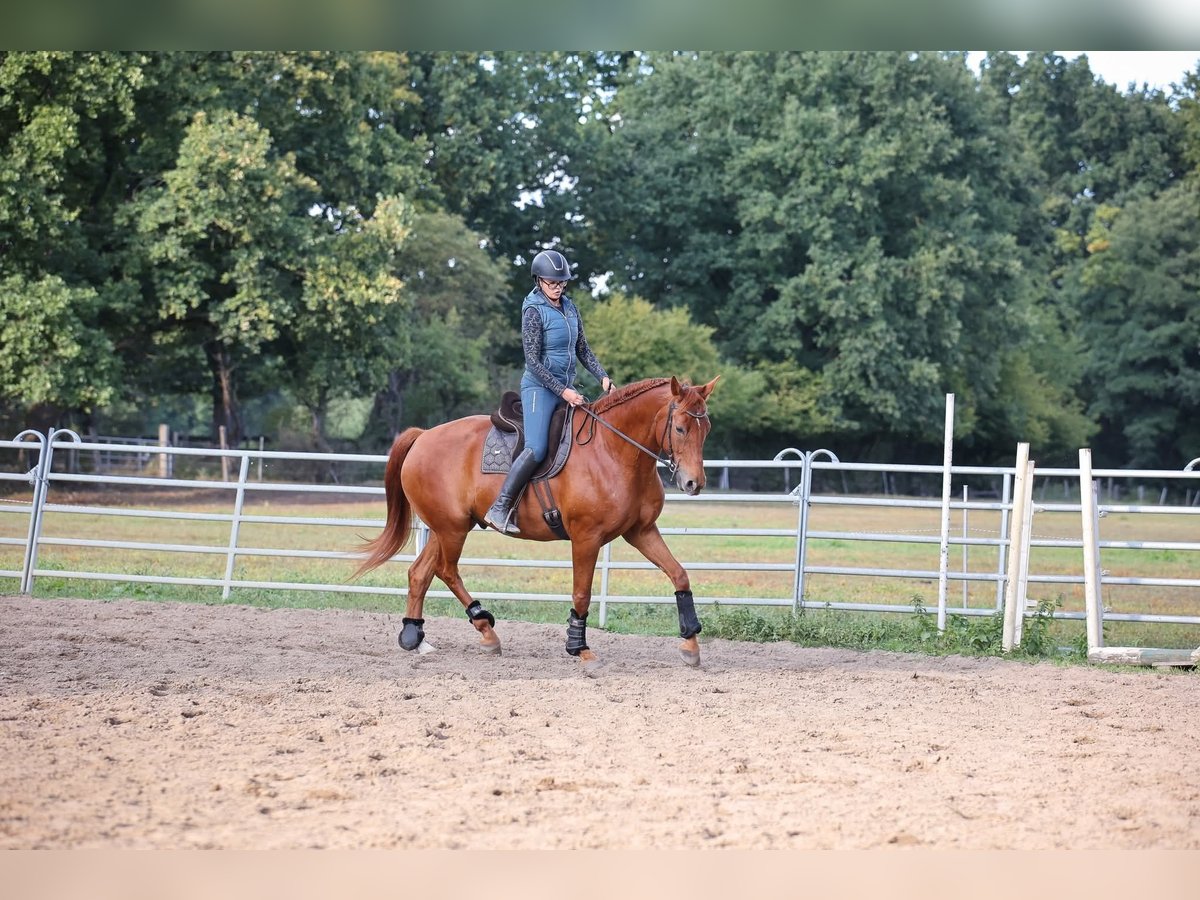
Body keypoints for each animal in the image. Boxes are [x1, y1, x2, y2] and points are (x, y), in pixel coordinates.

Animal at [352, 375, 720, 671]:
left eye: (707, 430)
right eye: (680, 428)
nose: (694, 483)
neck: (612, 450)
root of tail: (424, 436)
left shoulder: (640, 532)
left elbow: (679, 574)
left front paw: (690, 644)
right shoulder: (586, 538)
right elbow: (582, 593)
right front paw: (580, 649)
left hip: (447, 529)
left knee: (420, 573)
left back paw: (416, 637)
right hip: (451, 529)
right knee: (445, 571)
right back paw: (483, 630)